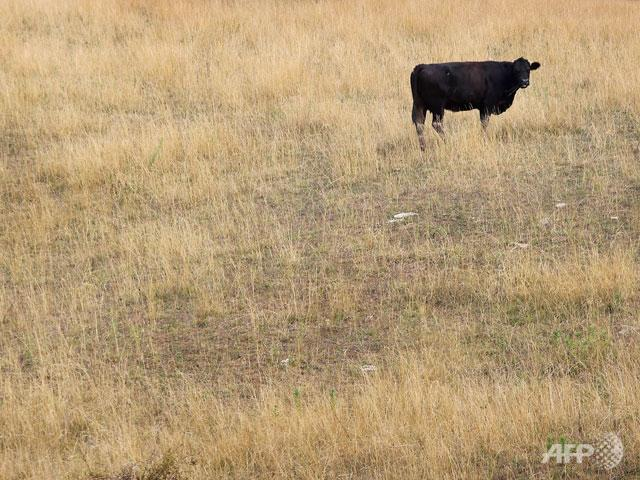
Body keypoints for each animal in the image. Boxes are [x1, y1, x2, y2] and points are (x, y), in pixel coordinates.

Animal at [410, 57, 540, 150]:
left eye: (528, 69)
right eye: (516, 70)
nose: (524, 81)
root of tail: (422, 66)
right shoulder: (487, 106)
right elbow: (484, 123)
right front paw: (484, 140)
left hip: (420, 105)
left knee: (419, 124)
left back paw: (423, 148)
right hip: (437, 107)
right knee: (436, 124)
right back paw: (448, 141)